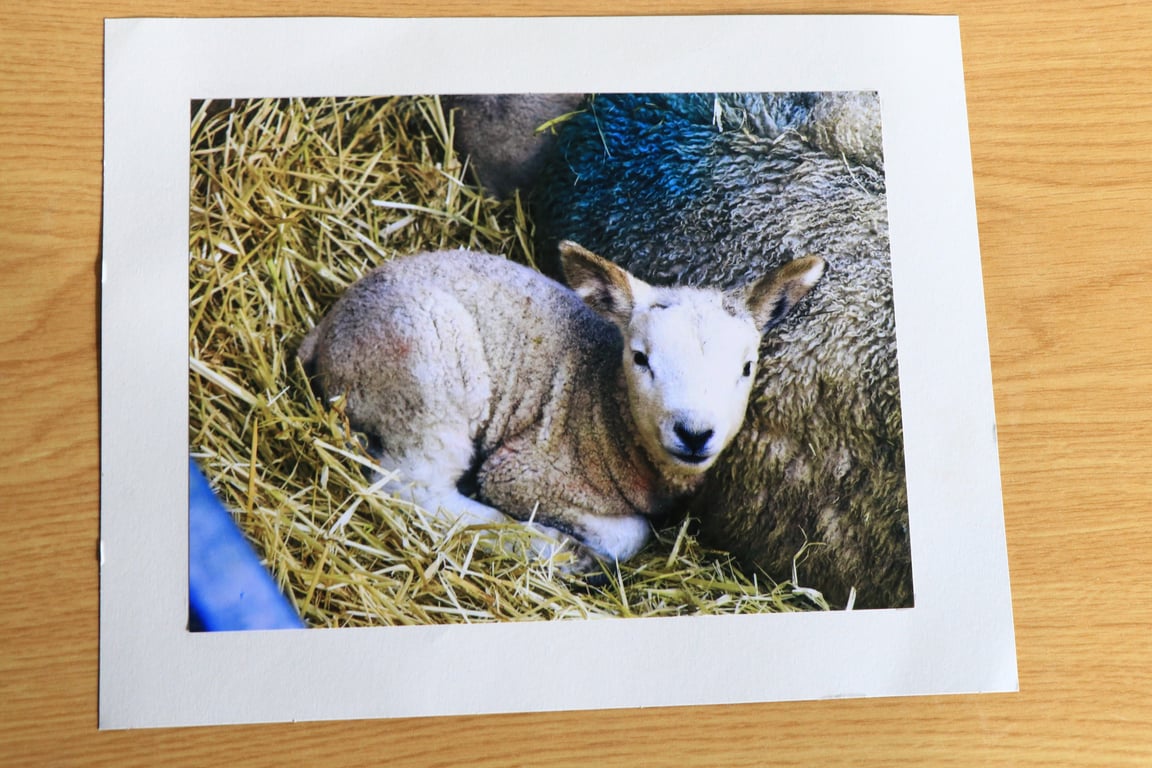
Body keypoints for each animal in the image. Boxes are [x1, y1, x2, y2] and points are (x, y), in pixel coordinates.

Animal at [298, 242, 824, 570]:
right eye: (641, 358)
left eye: (747, 367)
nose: (694, 433)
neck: (607, 412)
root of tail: (327, 329)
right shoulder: (523, 471)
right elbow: (629, 535)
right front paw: (579, 544)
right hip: (427, 378)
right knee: (413, 489)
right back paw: (549, 547)